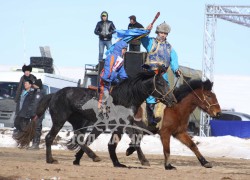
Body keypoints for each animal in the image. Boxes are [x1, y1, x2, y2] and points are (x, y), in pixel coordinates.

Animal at [15, 67, 175, 167]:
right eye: (160, 83)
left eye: (166, 82)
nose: (172, 100)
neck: (125, 98)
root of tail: (54, 94)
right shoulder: (123, 124)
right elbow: (133, 139)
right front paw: (143, 160)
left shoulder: (114, 126)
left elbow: (114, 143)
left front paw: (119, 162)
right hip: (59, 121)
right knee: (50, 138)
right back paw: (51, 159)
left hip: (79, 122)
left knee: (79, 138)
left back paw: (89, 157)